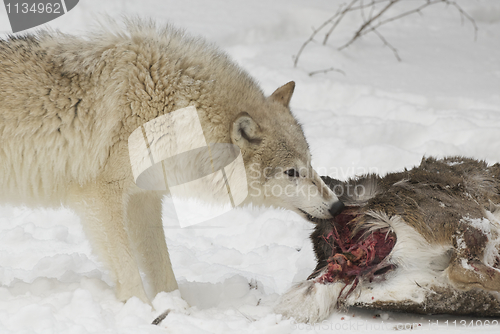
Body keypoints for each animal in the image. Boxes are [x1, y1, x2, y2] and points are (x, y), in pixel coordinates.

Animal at [0, 20, 344, 302]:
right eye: (291, 172)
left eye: (310, 163)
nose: (338, 206)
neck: (168, 110)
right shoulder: (99, 198)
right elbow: (128, 271)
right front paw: (143, 313)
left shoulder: (144, 198)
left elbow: (164, 271)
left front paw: (178, 311)